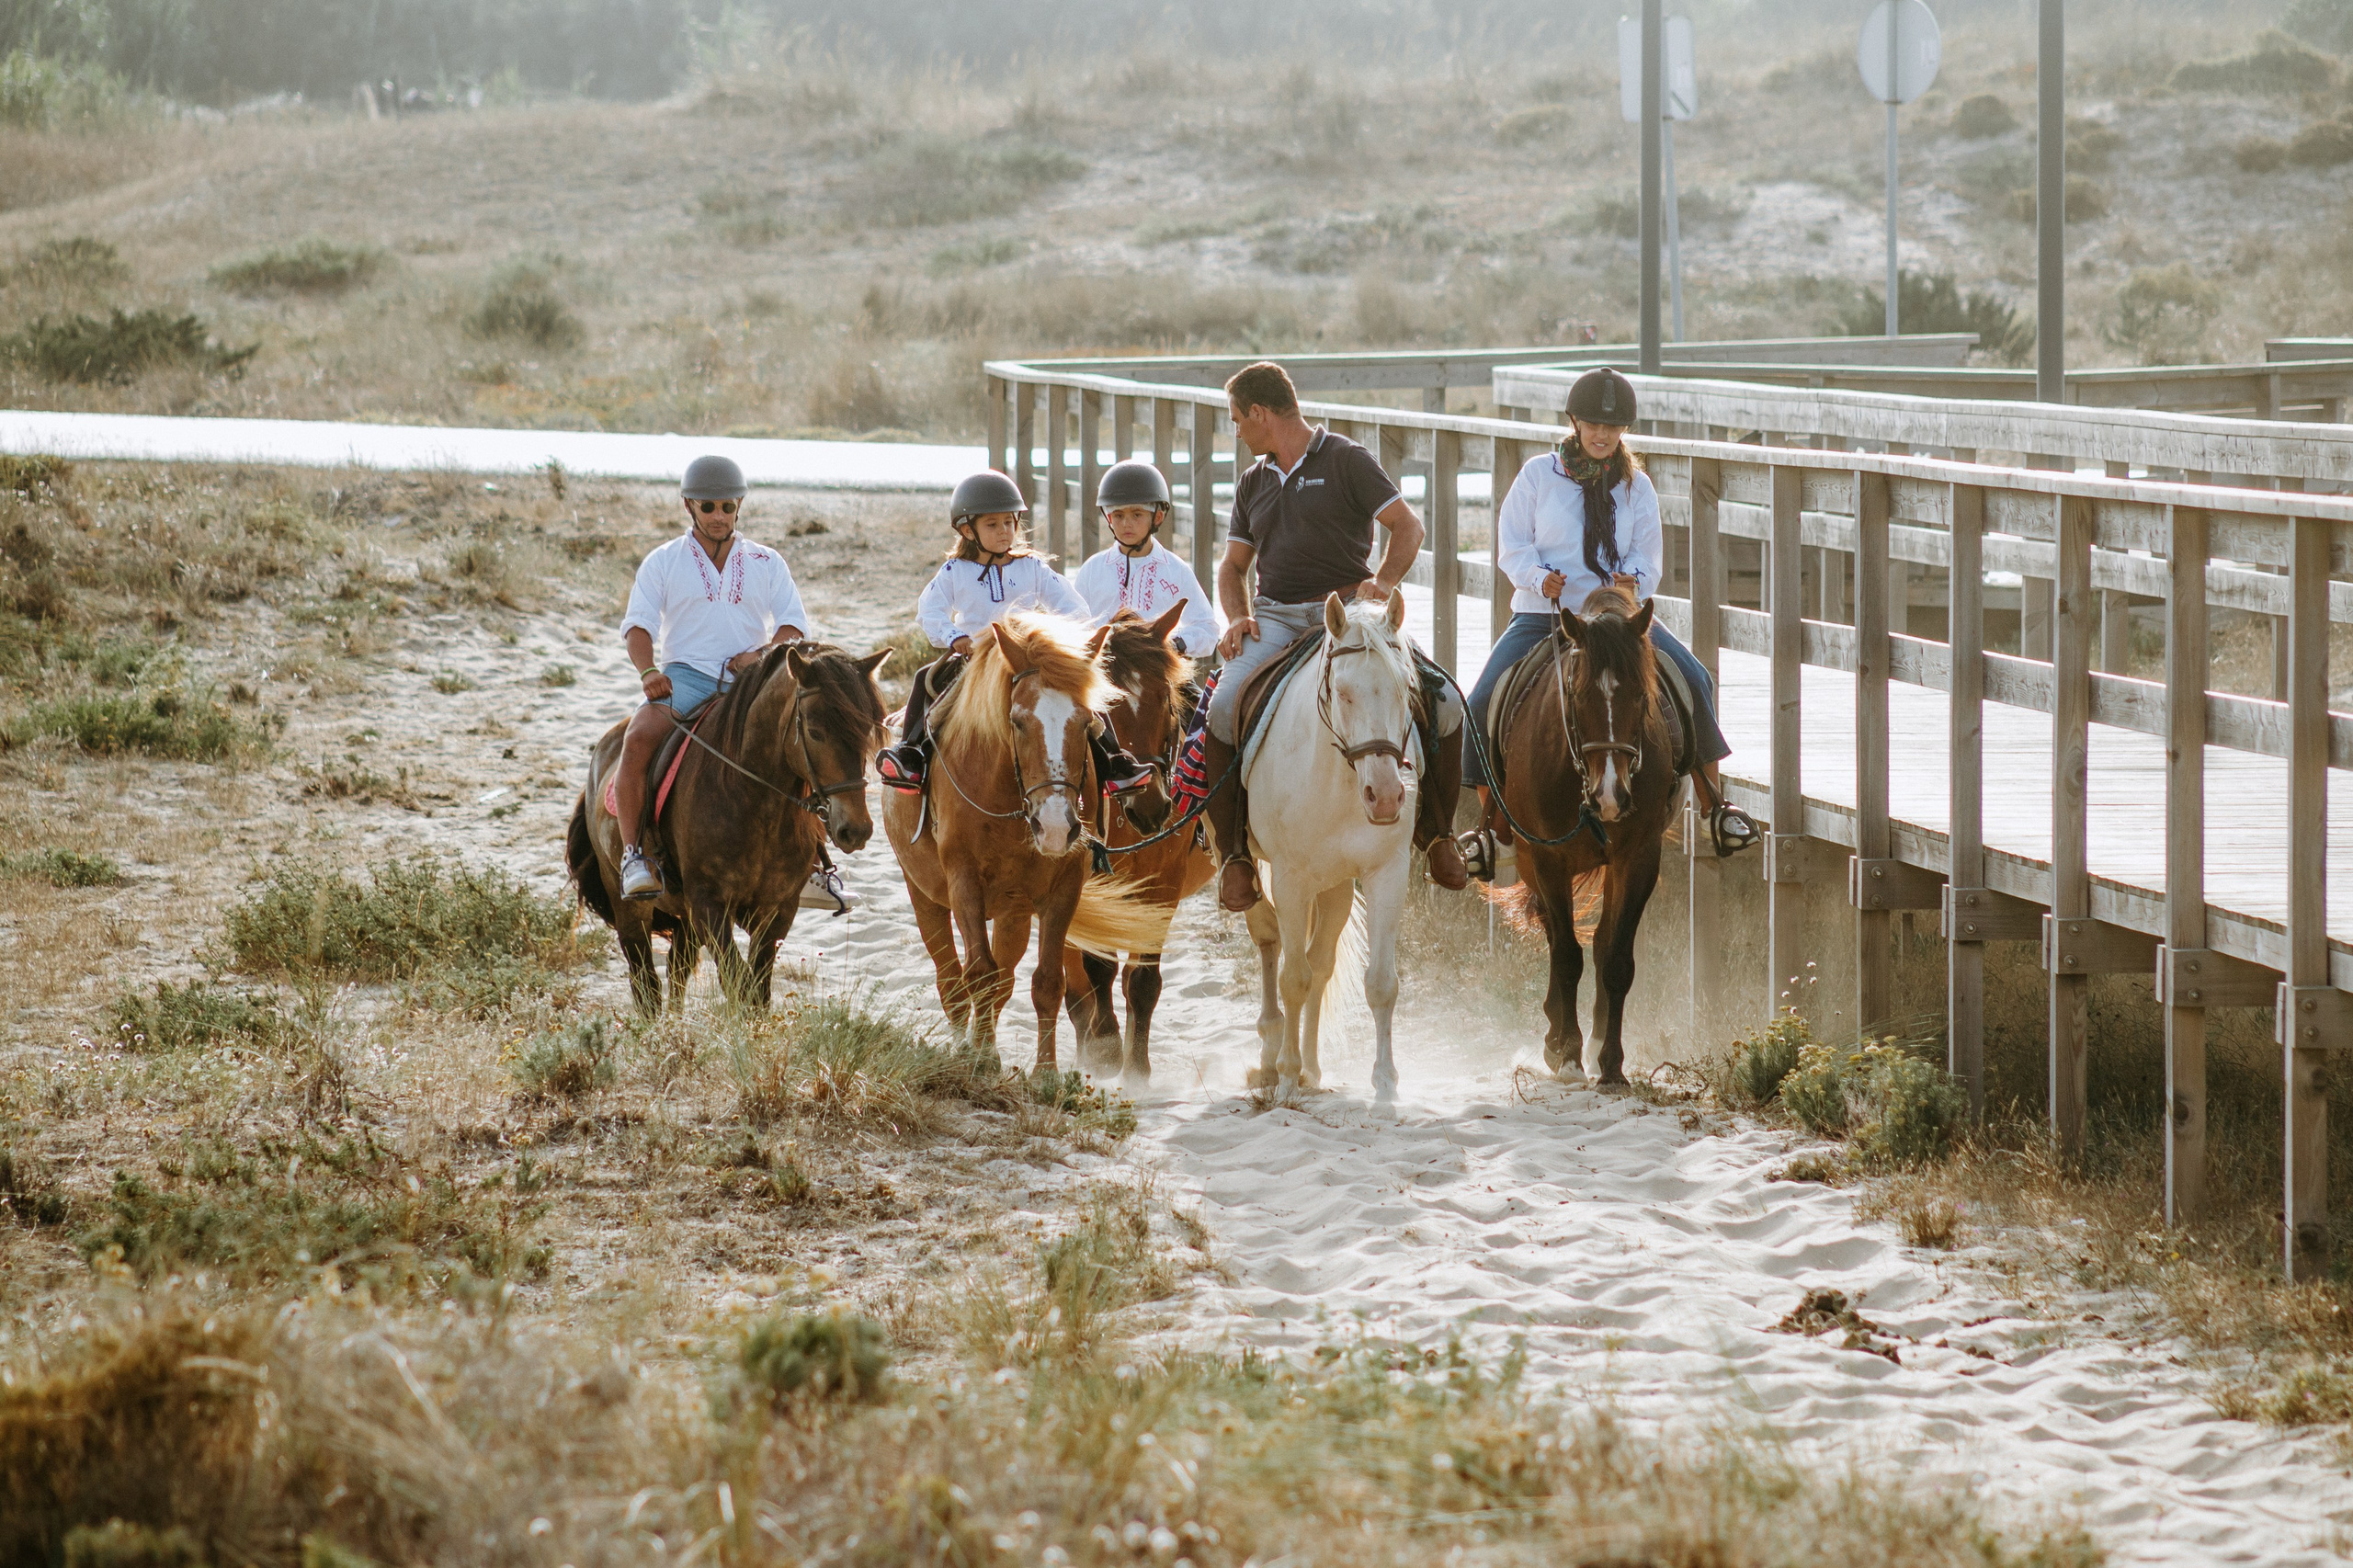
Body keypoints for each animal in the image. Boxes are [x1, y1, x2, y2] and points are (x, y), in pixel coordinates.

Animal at [569, 642, 889, 1013]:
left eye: (867, 731)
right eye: (814, 732)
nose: (857, 829)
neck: (754, 803)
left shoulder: (777, 910)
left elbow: (758, 990)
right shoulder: (709, 905)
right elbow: (738, 983)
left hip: (685, 915)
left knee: (678, 968)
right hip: (631, 906)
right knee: (644, 981)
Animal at [880, 612, 1169, 1068]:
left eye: (1087, 720)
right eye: (1017, 720)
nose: (1055, 827)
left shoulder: (1064, 887)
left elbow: (1045, 982)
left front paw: (1043, 1072)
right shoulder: (963, 881)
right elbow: (978, 974)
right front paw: (980, 1061)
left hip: (1012, 913)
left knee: (1003, 981)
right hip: (925, 894)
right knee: (952, 981)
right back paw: (963, 1046)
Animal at [1060, 602, 1215, 1089]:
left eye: (1166, 699)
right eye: (1105, 709)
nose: (1152, 806)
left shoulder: (1162, 886)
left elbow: (1142, 981)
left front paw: (1138, 1070)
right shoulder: (1090, 889)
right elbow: (1098, 969)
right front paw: (1108, 1051)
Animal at [1240, 592, 1423, 1102]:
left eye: (1405, 689)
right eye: (1343, 692)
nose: (1387, 796)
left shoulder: (1387, 873)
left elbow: (1380, 983)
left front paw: (1386, 1082)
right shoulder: (1290, 880)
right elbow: (1292, 978)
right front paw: (1285, 1075)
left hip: (1336, 885)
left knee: (1321, 964)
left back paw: (1312, 1068)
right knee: (1270, 942)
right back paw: (1271, 1057)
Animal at [1489, 583, 1679, 1085]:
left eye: (1641, 695)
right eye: (1575, 694)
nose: (1610, 795)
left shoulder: (1639, 858)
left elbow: (1615, 959)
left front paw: (1609, 1063)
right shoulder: (1547, 859)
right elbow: (1567, 955)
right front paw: (1569, 1053)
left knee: (1598, 942)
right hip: (1530, 860)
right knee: (1557, 939)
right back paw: (1557, 1037)